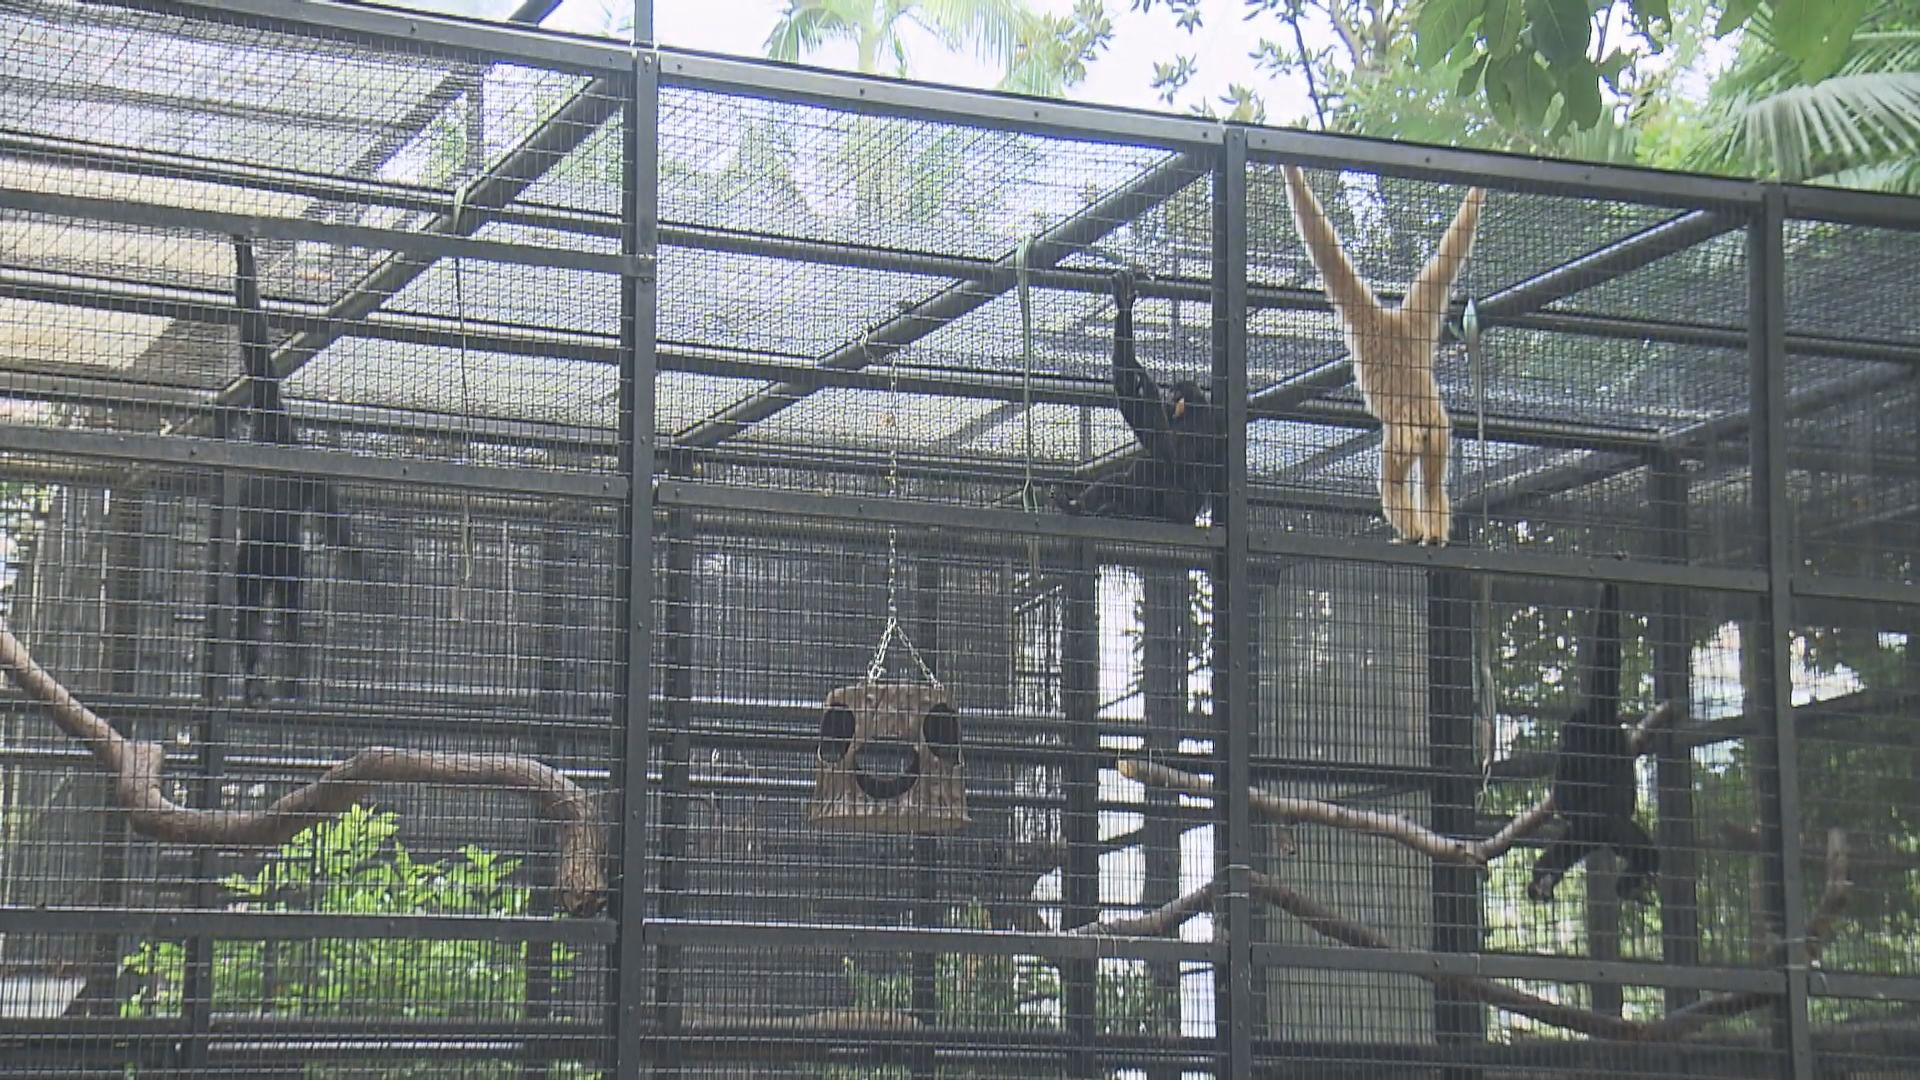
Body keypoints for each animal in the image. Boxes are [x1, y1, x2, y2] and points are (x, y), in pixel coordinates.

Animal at [230, 237, 360, 699]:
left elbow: (254, 338)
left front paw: (243, 249)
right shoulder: (314, 475)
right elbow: (338, 527)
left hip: (273, 558)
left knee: (260, 604)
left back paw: (266, 676)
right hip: (281, 559)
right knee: (278, 609)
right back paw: (282, 678)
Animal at [1059, 267, 1221, 522]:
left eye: (1172, 395)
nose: (1167, 401)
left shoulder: (1196, 426)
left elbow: (1169, 452)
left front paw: (1147, 381)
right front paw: (1124, 308)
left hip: (1176, 510)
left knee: (1156, 463)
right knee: (1128, 477)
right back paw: (1085, 506)